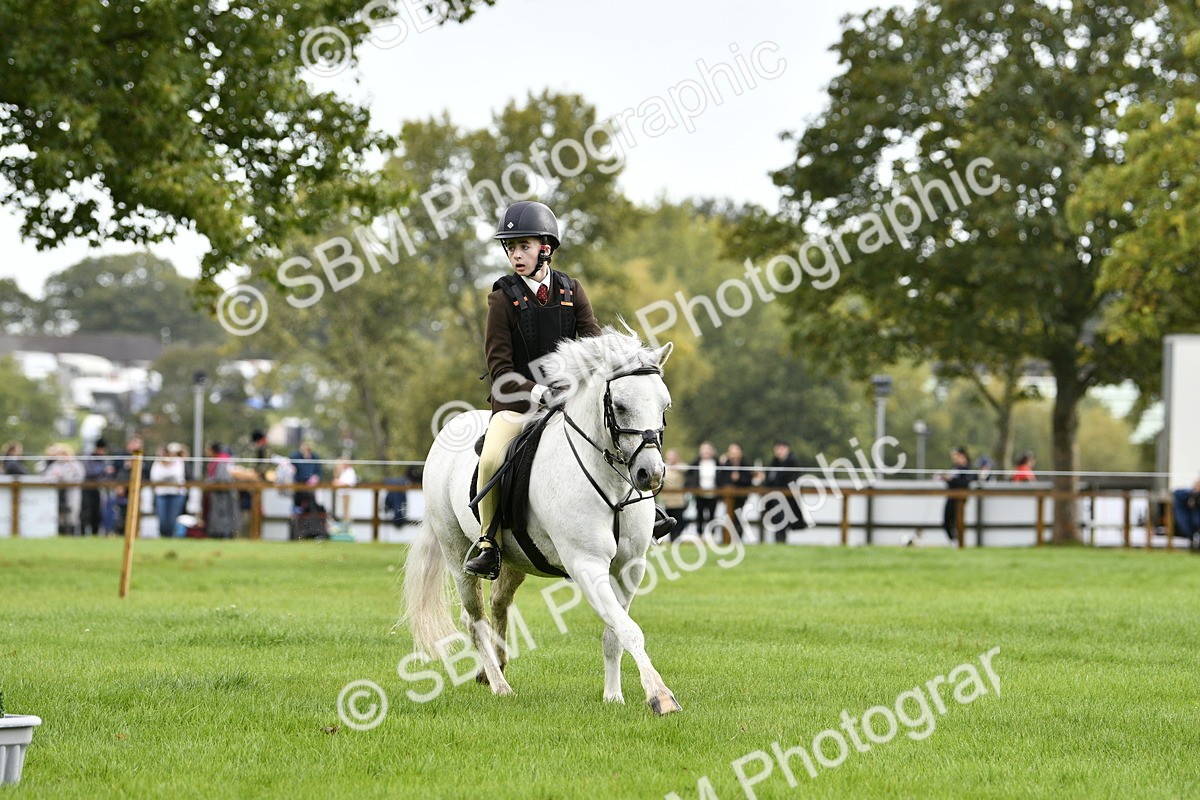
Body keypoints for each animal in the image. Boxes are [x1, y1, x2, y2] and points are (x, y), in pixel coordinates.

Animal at [402, 329, 681, 715]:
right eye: (621, 406)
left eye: (664, 406)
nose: (650, 475)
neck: (608, 481)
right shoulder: (586, 564)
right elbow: (629, 629)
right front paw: (660, 695)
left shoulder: (630, 566)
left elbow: (615, 631)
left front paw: (613, 696)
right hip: (457, 554)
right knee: (473, 620)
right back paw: (499, 685)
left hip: (513, 560)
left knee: (498, 604)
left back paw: (494, 669)